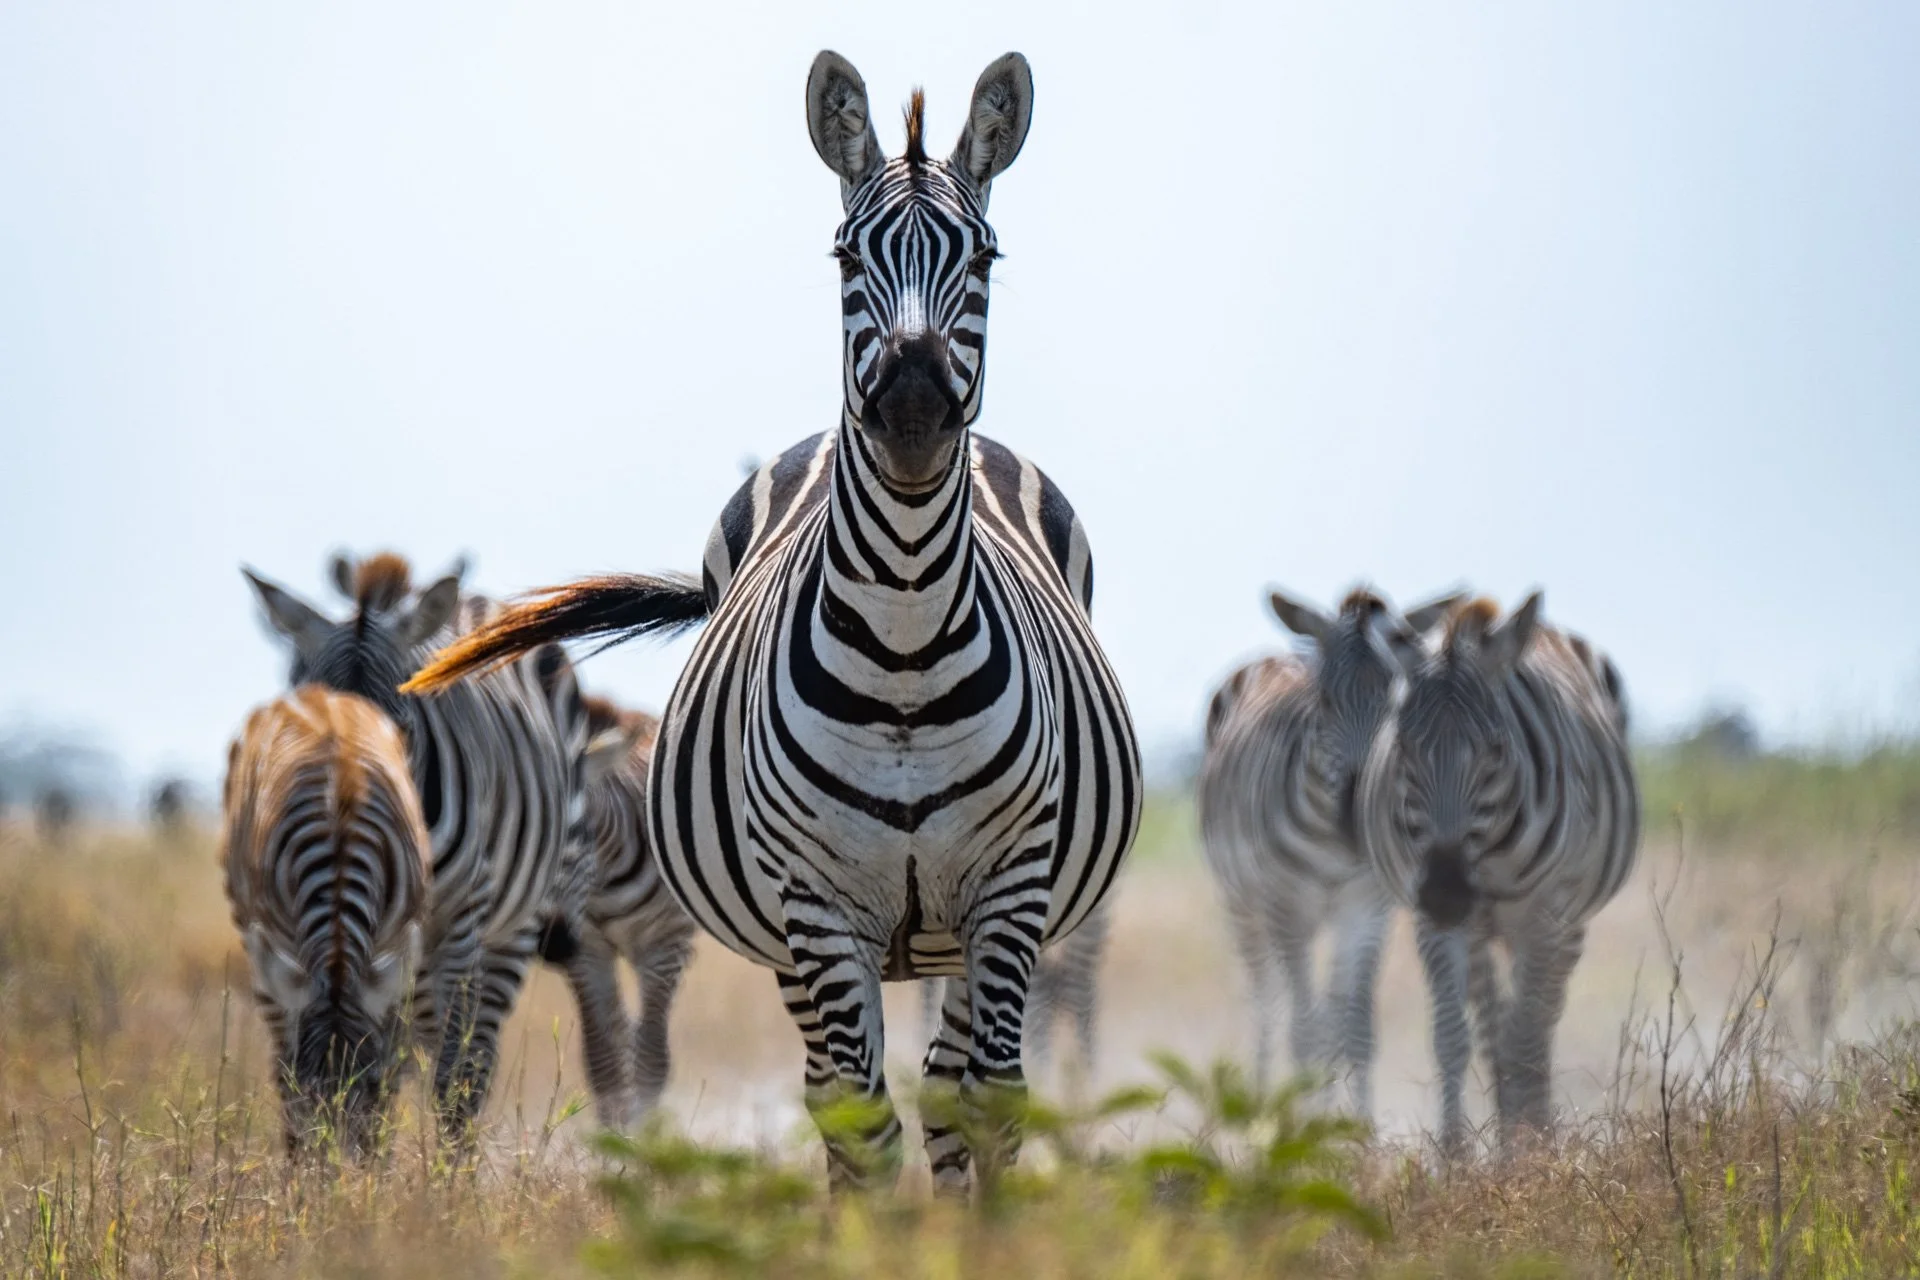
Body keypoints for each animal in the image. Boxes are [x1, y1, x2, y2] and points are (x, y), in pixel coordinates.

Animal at [220, 684, 430, 1154]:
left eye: (369, 1084)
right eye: (307, 1088)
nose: (336, 1169)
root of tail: (320, 694)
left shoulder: (394, 955)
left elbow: (392, 1062)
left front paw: (378, 1163)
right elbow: (284, 1072)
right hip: (258, 946)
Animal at [243, 551, 598, 1136]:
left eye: (399, 733)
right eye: (309, 727)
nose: (339, 816)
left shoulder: (458, 921)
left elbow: (450, 1073)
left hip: (514, 925)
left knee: (474, 1061)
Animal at [540, 695, 697, 1128]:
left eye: (577, 833)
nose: (549, 944)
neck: (604, 878)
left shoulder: (665, 945)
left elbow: (652, 1059)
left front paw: (644, 1135)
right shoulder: (588, 951)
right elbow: (603, 1060)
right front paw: (612, 1135)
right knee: (618, 1029)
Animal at [1199, 585, 1463, 1116]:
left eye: (1396, 701)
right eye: (1323, 699)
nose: (1357, 819)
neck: (1333, 845)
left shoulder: (1368, 909)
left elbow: (1354, 1031)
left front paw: (1357, 1130)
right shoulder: (1287, 906)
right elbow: (1303, 1032)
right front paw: (1297, 1128)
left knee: (1328, 1015)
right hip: (1243, 905)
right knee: (1267, 1006)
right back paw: (1259, 1103)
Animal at [1358, 592, 1638, 1152]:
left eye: (1495, 749)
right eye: (1403, 749)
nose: (1446, 893)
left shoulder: (1544, 915)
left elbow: (1526, 1040)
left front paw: (1531, 1153)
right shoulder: (1431, 920)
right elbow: (1452, 1037)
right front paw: (1455, 1157)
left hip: (1567, 922)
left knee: (1539, 1023)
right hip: (1482, 931)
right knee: (1493, 1027)